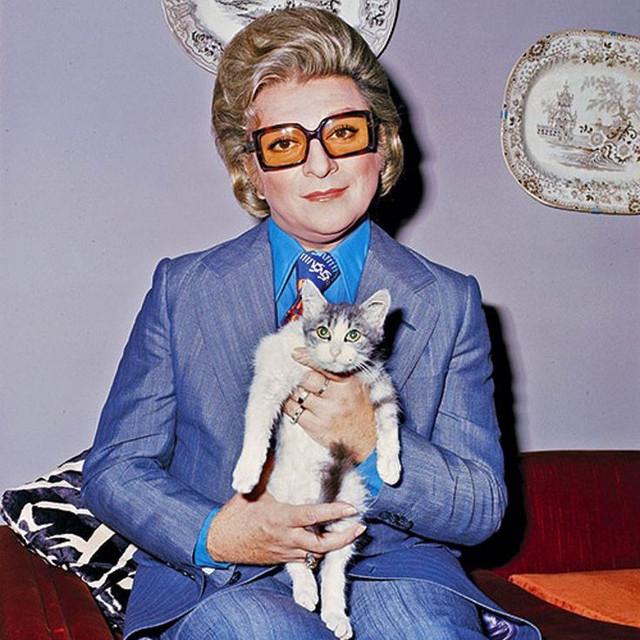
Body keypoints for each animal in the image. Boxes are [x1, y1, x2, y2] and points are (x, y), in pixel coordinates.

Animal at [232, 280, 401, 640]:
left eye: (353, 335)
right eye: (323, 332)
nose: (335, 351)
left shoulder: (376, 378)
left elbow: (389, 416)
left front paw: (390, 464)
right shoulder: (273, 367)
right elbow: (258, 416)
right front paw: (248, 469)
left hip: (349, 511)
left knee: (335, 570)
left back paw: (335, 612)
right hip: (284, 511)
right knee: (293, 556)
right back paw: (306, 589)